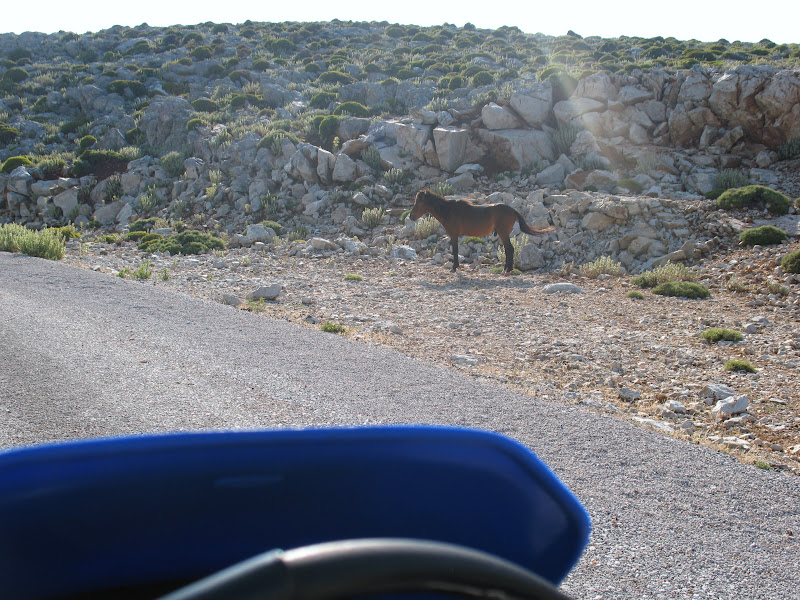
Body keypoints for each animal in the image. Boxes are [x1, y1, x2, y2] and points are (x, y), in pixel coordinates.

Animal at [410, 190, 552, 274]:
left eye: (418, 203)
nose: (411, 216)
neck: (448, 211)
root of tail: (512, 210)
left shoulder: (454, 235)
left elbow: (455, 251)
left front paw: (454, 267)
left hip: (503, 233)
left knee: (510, 249)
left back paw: (508, 269)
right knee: (508, 249)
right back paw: (506, 268)